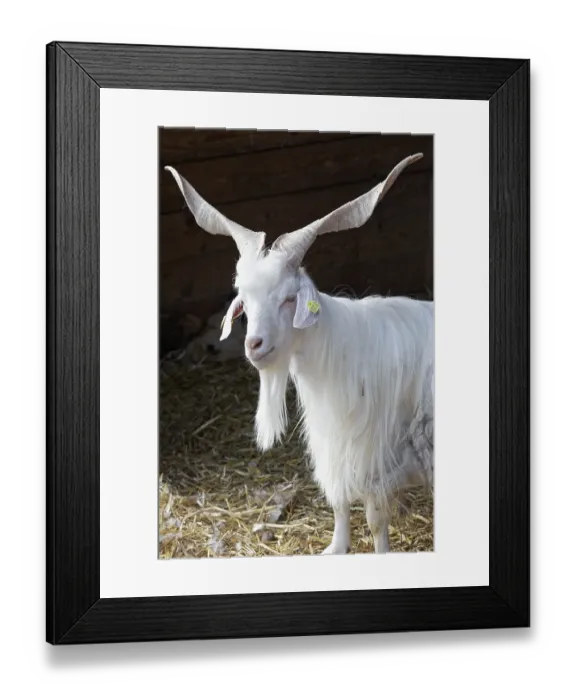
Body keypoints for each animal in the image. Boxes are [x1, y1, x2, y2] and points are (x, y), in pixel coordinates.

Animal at [165, 154, 434, 555]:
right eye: (243, 300)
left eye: (289, 298)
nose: (254, 345)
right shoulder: (334, 443)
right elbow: (339, 502)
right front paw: (335, 547)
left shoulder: (374, 454)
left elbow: (375, 520)